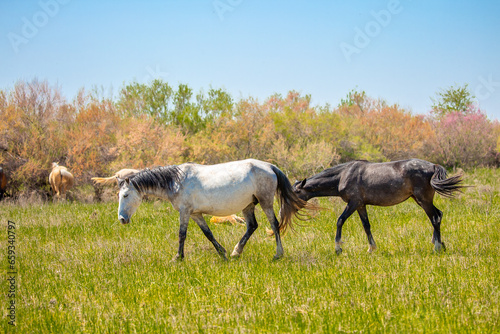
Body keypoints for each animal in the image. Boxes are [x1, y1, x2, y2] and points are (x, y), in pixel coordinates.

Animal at [292, 159, 464, 253]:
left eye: (295, 192)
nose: (288, 210)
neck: (343, 175)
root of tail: (433, 166)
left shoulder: (353, 203)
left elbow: (340, 221)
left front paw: (338, 248)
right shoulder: (361, 205)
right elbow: (366, 226)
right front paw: (371, 248)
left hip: (424, 200)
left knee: (435, 217)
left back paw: (437, 246)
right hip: (420, 199)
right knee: (438, 215)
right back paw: (439, 243)